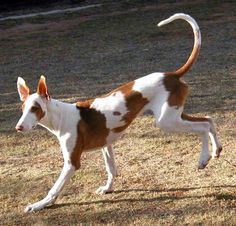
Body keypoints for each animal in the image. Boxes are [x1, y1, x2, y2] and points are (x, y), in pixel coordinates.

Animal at [16, 13, 221, 212]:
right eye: (22, 109)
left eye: (35, 108)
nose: (18, 127)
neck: (61, 116)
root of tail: (172, 75)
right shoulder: (106, 145)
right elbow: (111, 170)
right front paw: (108, 188)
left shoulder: (71, 162)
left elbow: (54, 189)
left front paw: (39, 204)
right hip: (174, 114)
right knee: (208, 119)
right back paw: (216, 150)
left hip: (167, 121)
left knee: (202, 127)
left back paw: (203, 159)